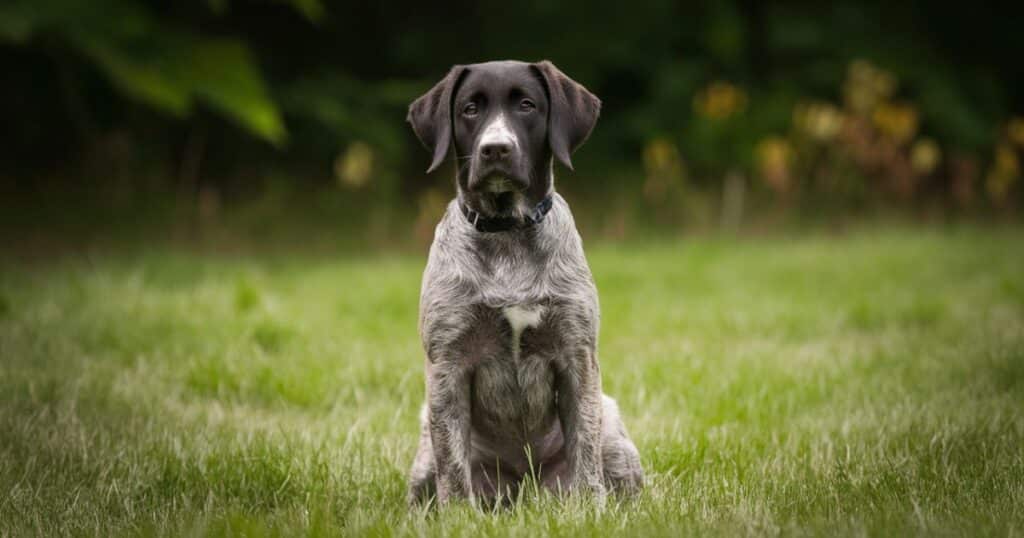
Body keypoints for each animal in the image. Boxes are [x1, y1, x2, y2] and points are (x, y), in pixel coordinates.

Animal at [405, 60, 638, 506]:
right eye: (470, 109)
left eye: (527, 105)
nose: (495, 149)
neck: (507, 232)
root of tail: (523, 488)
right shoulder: (447, 367)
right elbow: (454, 472)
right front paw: (459, 516)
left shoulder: (576, 359)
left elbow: (585, 458)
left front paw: (590, 512)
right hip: (424, 450)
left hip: (614, 433)